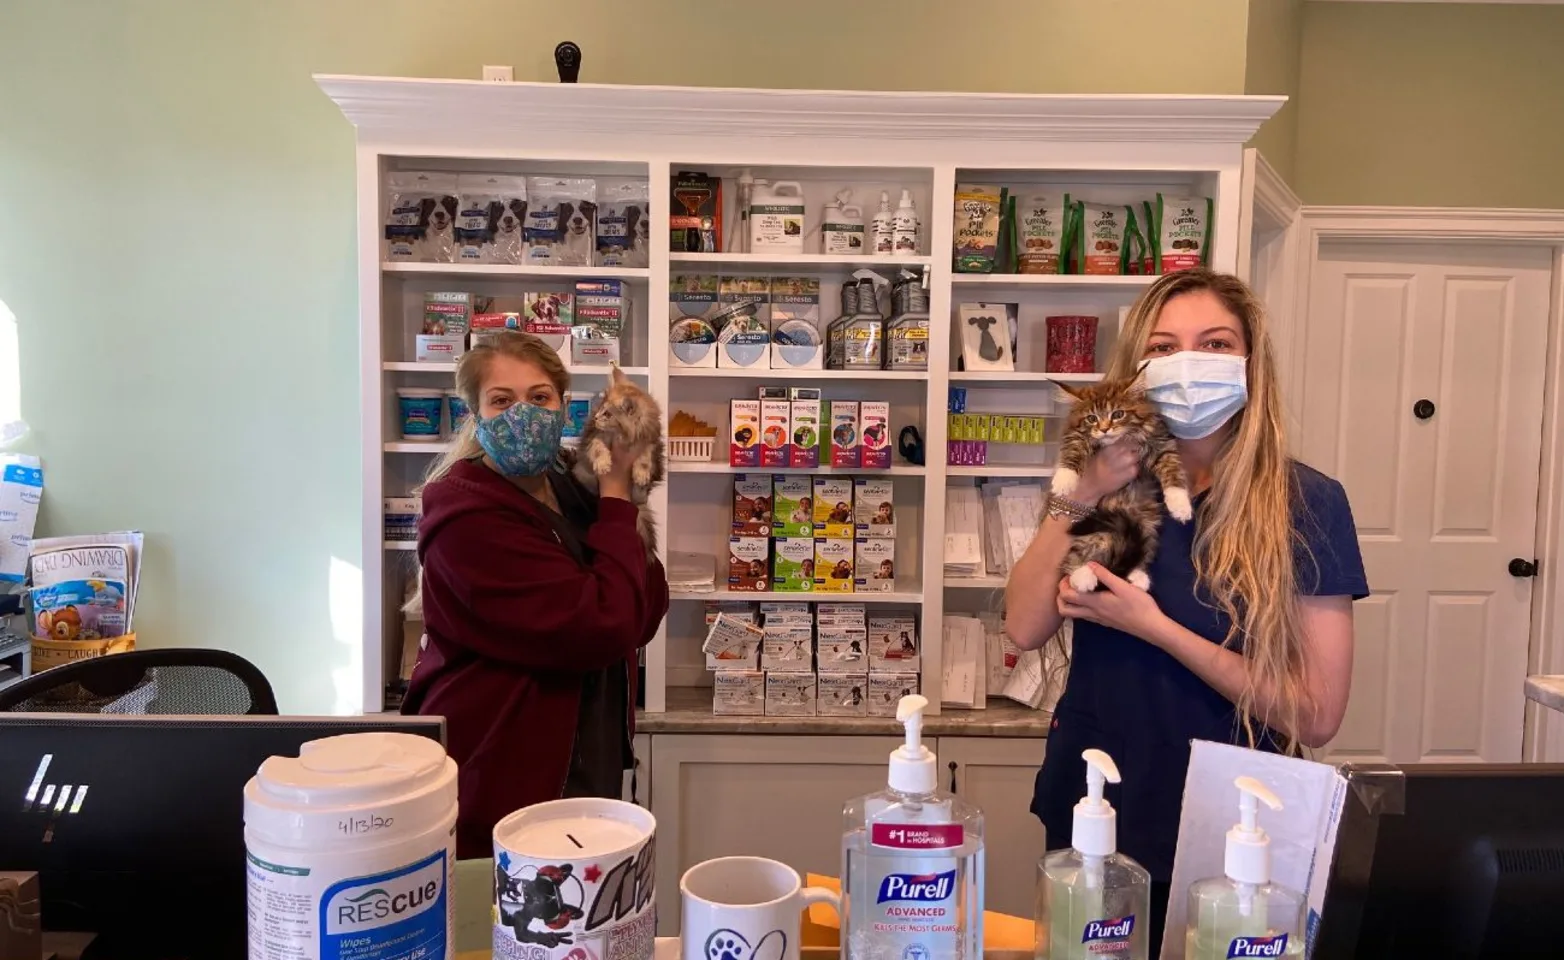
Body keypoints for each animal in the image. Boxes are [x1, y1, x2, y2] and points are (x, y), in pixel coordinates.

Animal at [569, 368, 666, 562]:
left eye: (608, 414)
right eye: (600, 407)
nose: (596, 417)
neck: (624, 436)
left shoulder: (651, 441)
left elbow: (645, 456)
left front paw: (641, 473)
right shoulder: (596, 437)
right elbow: (598, 448)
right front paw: (603, 464)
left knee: (642, 495)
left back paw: (639, 486)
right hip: (582, 473)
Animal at [1051, 378, 1194, 594]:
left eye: (1118, 414)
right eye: (1091, 418)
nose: (1104, 429)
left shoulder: (1160, 444)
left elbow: (1173, 470)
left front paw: (1180, 504)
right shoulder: (1075, 435)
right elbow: (1073, 450)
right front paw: (1064, 479)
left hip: (1146, 525)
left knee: (1142, 551)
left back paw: (1138, 576)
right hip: (1092, 529)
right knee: (1074, 557)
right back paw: (1082, 575)